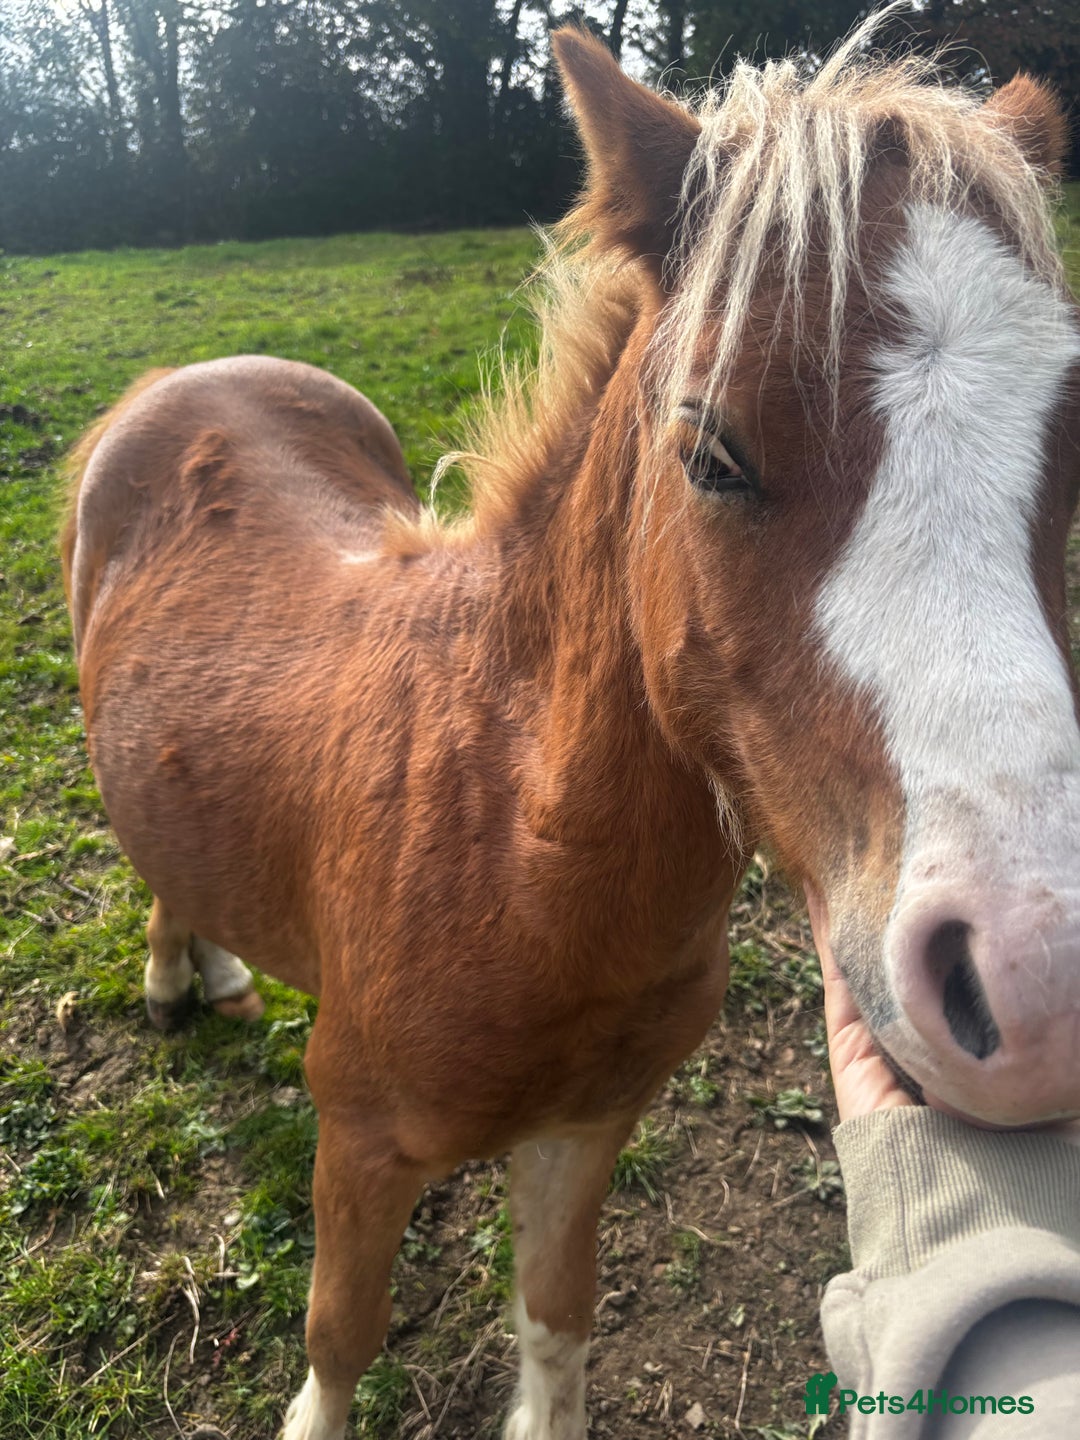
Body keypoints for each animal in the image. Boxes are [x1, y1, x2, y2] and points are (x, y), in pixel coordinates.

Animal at [61, 10, 1080, 1439]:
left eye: (1071, 444)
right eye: (710, 452)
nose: (1038, 988)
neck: (508, 843)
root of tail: (192, 373)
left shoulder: (584, 1129)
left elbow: (555, 1321)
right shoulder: (359, 1135)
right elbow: (339, 1334)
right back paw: (173, 982)